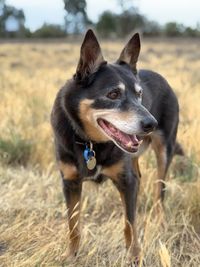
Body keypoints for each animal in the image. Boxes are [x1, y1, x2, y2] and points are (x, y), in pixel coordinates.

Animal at [50, 29, 183, 266]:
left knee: (160, 191)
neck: (89, 142)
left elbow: (130, 224)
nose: (151, 123)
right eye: (113, 94)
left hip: (164, 152)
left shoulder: (126, 181)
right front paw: (71, 255)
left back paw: (160, 222)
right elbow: (73, 224)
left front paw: (135, 257)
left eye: (139, 94)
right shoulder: (70, 182)